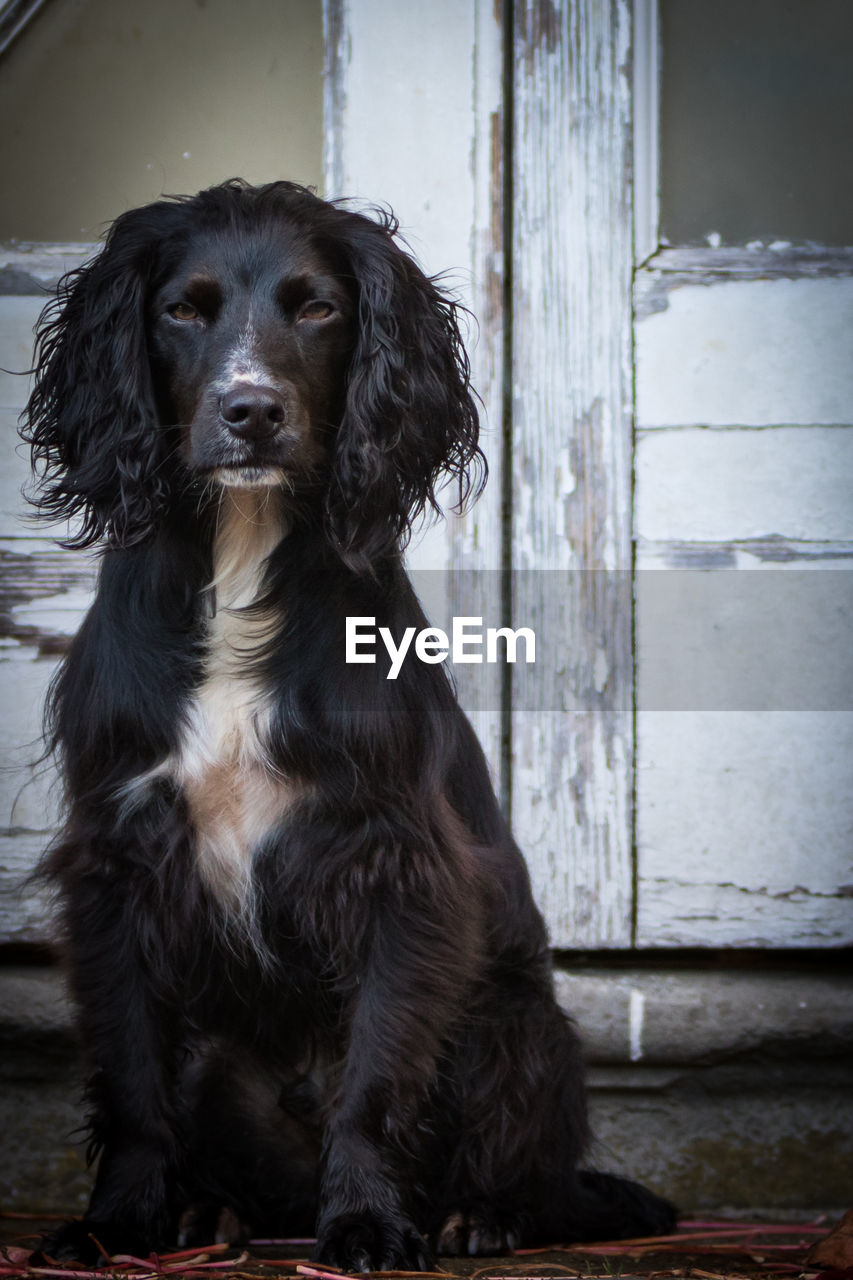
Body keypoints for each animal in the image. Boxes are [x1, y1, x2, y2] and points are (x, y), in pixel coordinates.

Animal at [24, 180, 671, 1269]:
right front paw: (116, 1222)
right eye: (181, 310)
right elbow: (131, 1073)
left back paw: (478, 1216)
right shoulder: (117, 859)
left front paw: (368, 1221)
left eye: (317, 308)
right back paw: (208, 1212)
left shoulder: (391, 862)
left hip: (511, 1021)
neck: (243, 555)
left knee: (532, 1171)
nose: (249, 410)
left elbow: (374, 1075)